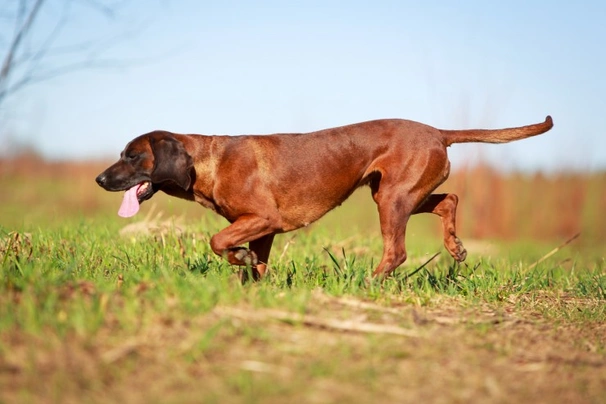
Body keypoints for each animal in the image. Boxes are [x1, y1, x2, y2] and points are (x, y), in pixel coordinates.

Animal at [96, 115, 556, 280]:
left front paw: (238, 258)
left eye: (132, 155)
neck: (208, 160)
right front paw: (252, 283)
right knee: (450, 199)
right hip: (396, 193)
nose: (100, 179)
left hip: (392, 200)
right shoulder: (263, 230)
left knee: (397, 252)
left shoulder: (263, 220)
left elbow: (219, 241)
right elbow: (253, 262)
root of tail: (438, 132)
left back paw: (367, 283)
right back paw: (456, 247)